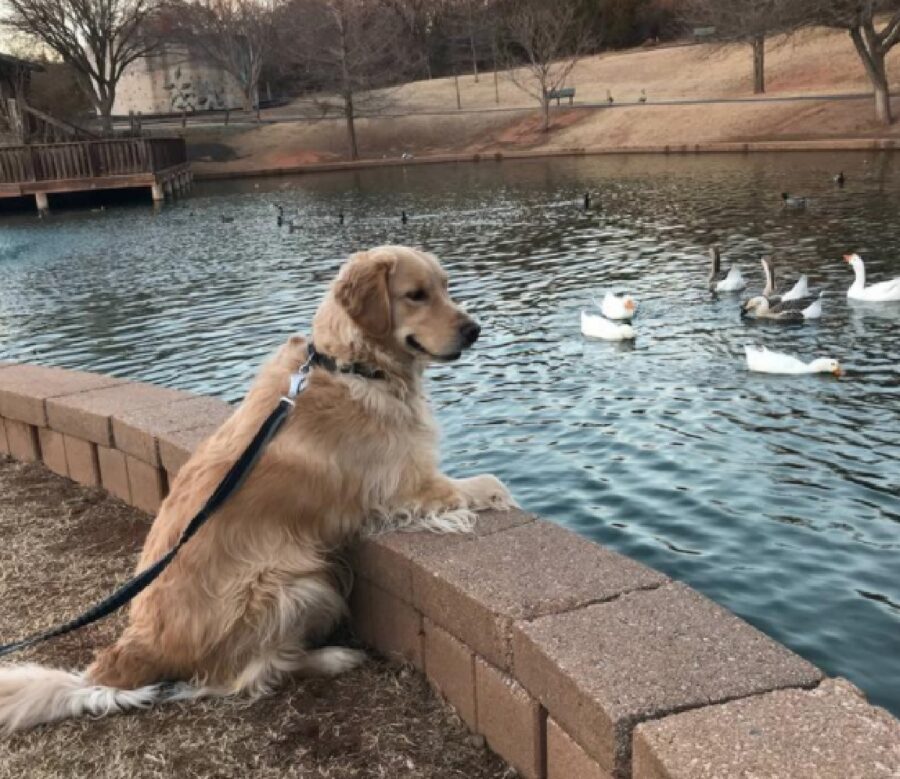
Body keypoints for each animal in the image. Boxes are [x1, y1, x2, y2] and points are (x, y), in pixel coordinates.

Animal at [0, 247, 512, 736]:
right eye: (416, 295)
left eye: (445, 287)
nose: (475, 330)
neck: (352, 364)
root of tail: (128, 652)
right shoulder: (406, 482)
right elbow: (483, 484)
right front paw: (497, 494)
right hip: (298, 584)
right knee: (252, 675)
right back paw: (333, 657)